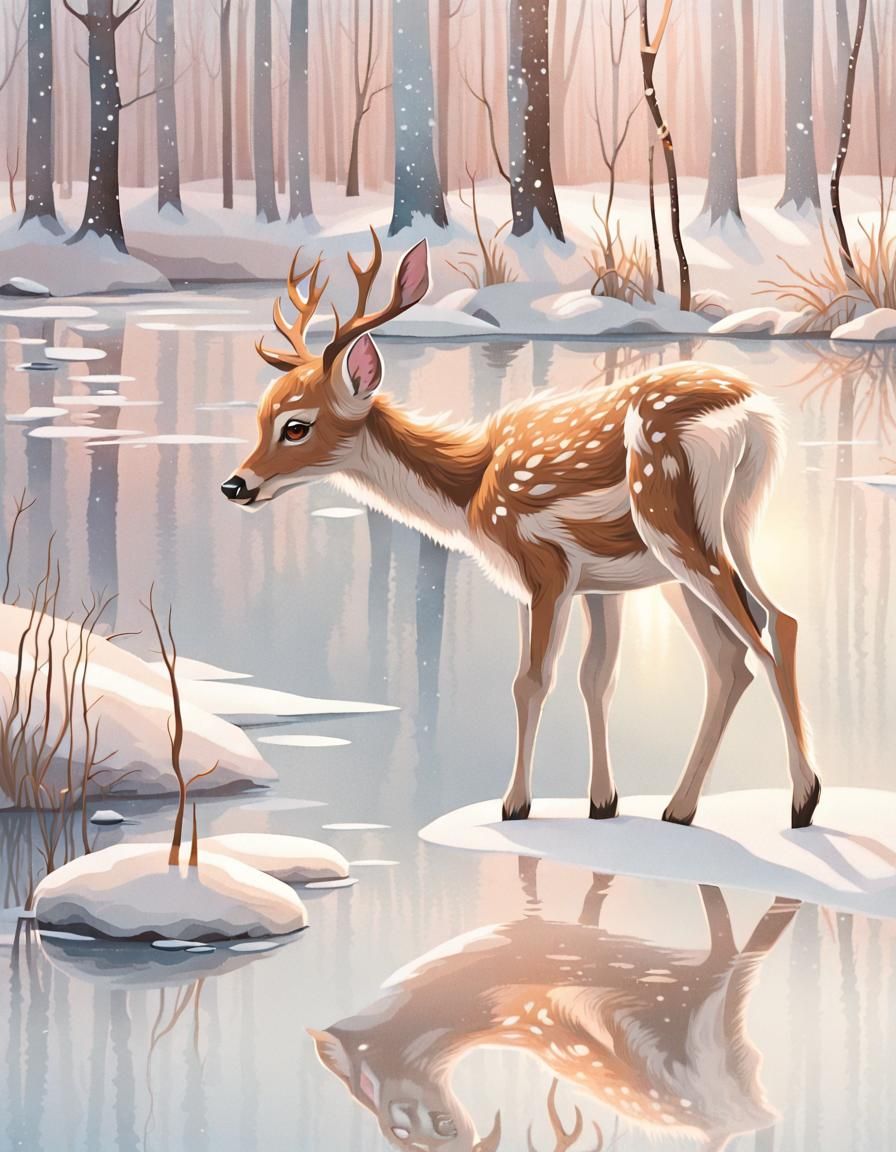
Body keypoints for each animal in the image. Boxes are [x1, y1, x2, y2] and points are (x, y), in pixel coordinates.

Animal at [221, 234, 821, 829]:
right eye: (261, 417)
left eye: (296, 426)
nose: (235, 485)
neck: (471, 493)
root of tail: (754, 414)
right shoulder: (596, 584)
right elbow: (595, 678)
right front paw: (602, 804)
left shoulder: (544, 566)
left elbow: (531, 681)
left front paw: (515, 806)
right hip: (708, 543)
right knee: (746, 647)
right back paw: (681, 808)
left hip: (672, 520)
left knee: (767, 637)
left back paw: (802, 801)